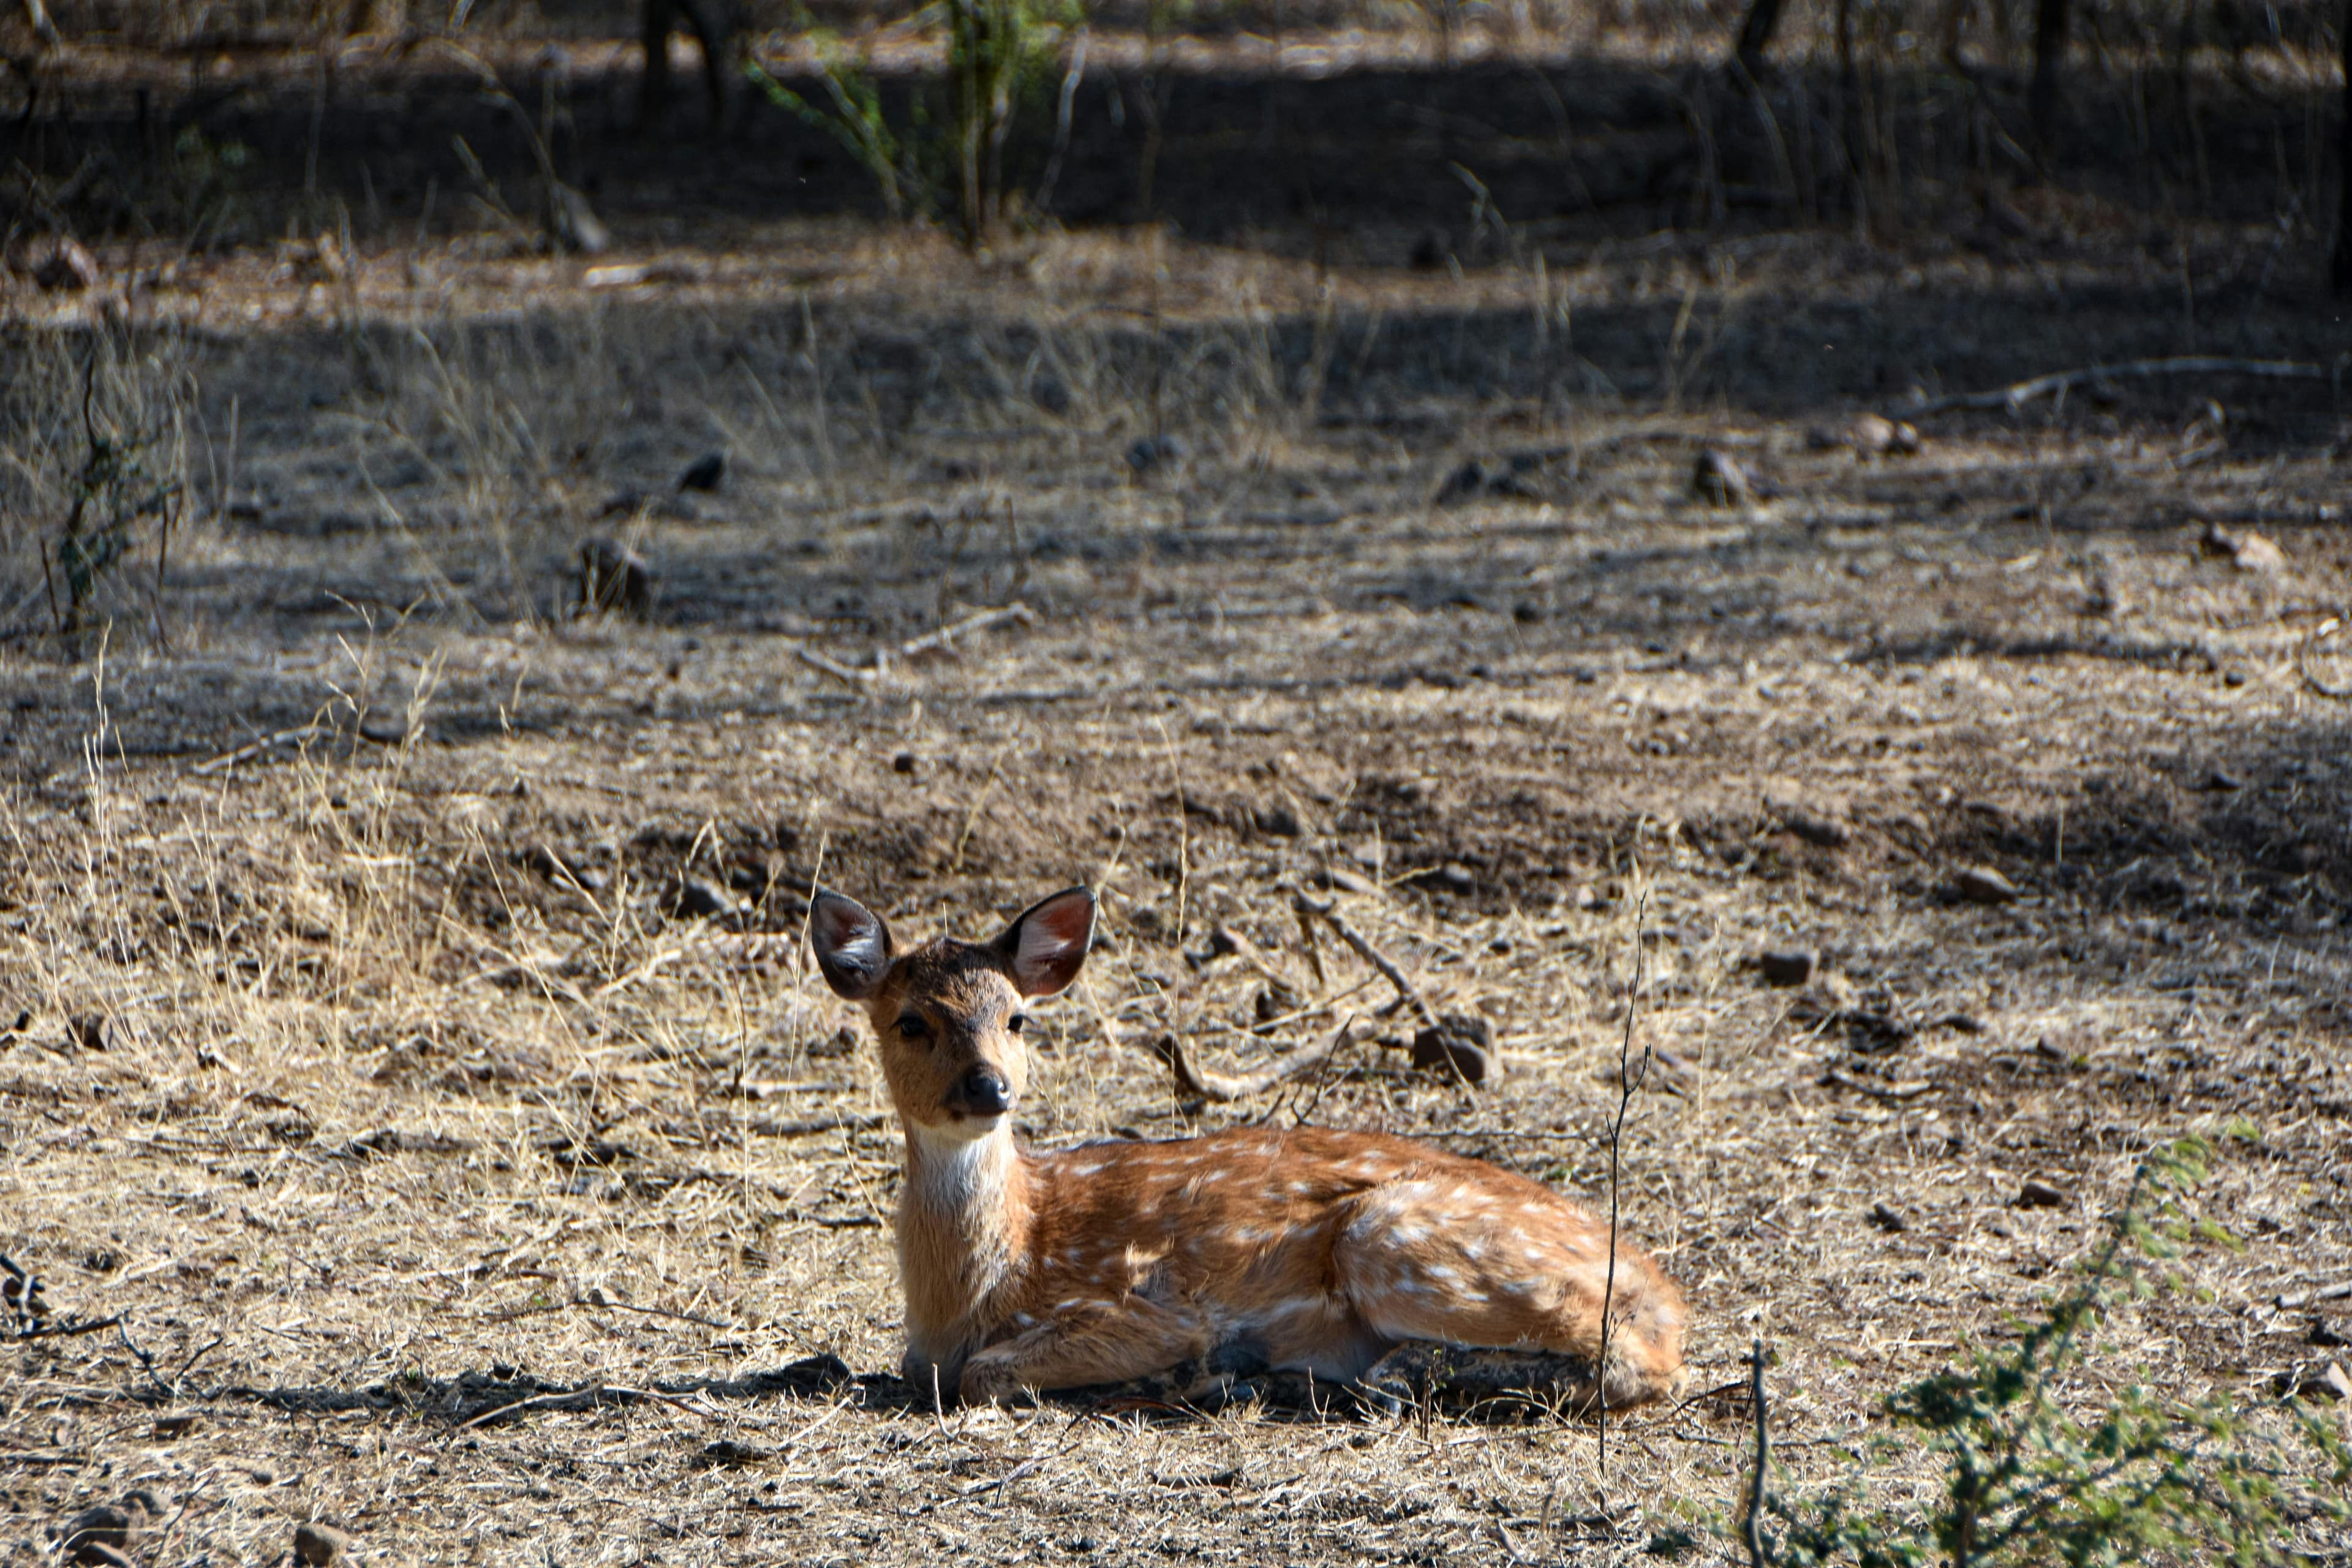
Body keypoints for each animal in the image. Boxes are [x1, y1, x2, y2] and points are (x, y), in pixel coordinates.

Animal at [810, 884, 1690, 1413]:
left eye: (1017, 1018)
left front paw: (1192, 1366)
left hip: (1394, 1235)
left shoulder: (1146, 1305)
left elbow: (984, 1372)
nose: (990, 1087)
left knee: (1628, 1356)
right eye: (910, 1022)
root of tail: (1665, 1294)